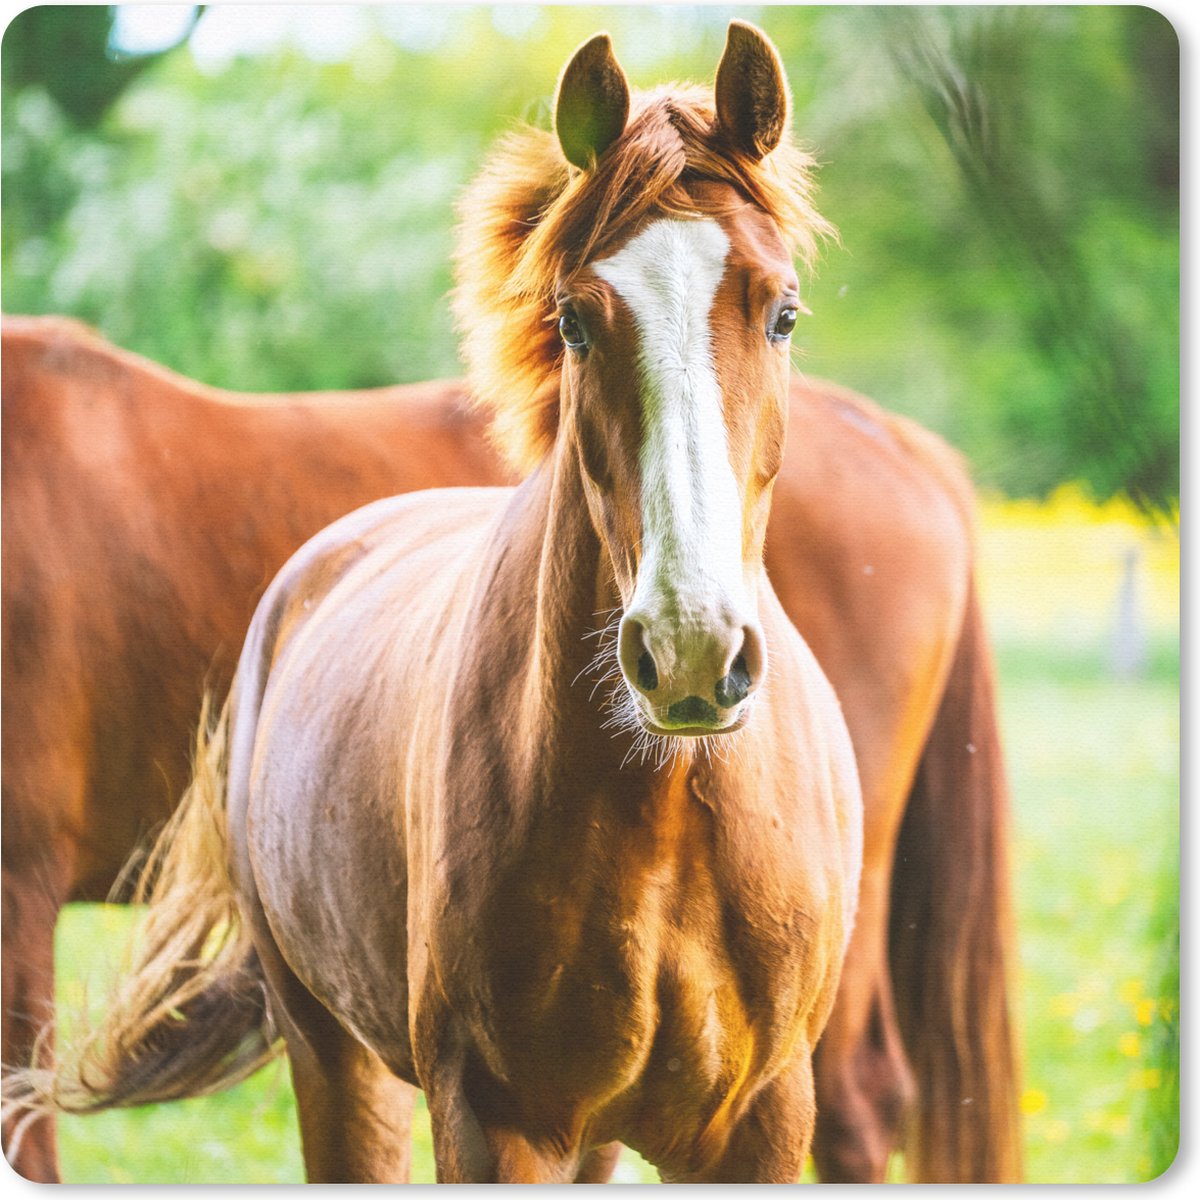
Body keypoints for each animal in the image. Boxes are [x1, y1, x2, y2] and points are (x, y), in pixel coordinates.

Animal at [1, 29, 1019, 1181]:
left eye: (784, 312)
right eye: (573, 319)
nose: (689, 649)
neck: (665, 816)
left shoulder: (755, 1121)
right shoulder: (499, 1119)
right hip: (340, 1056)